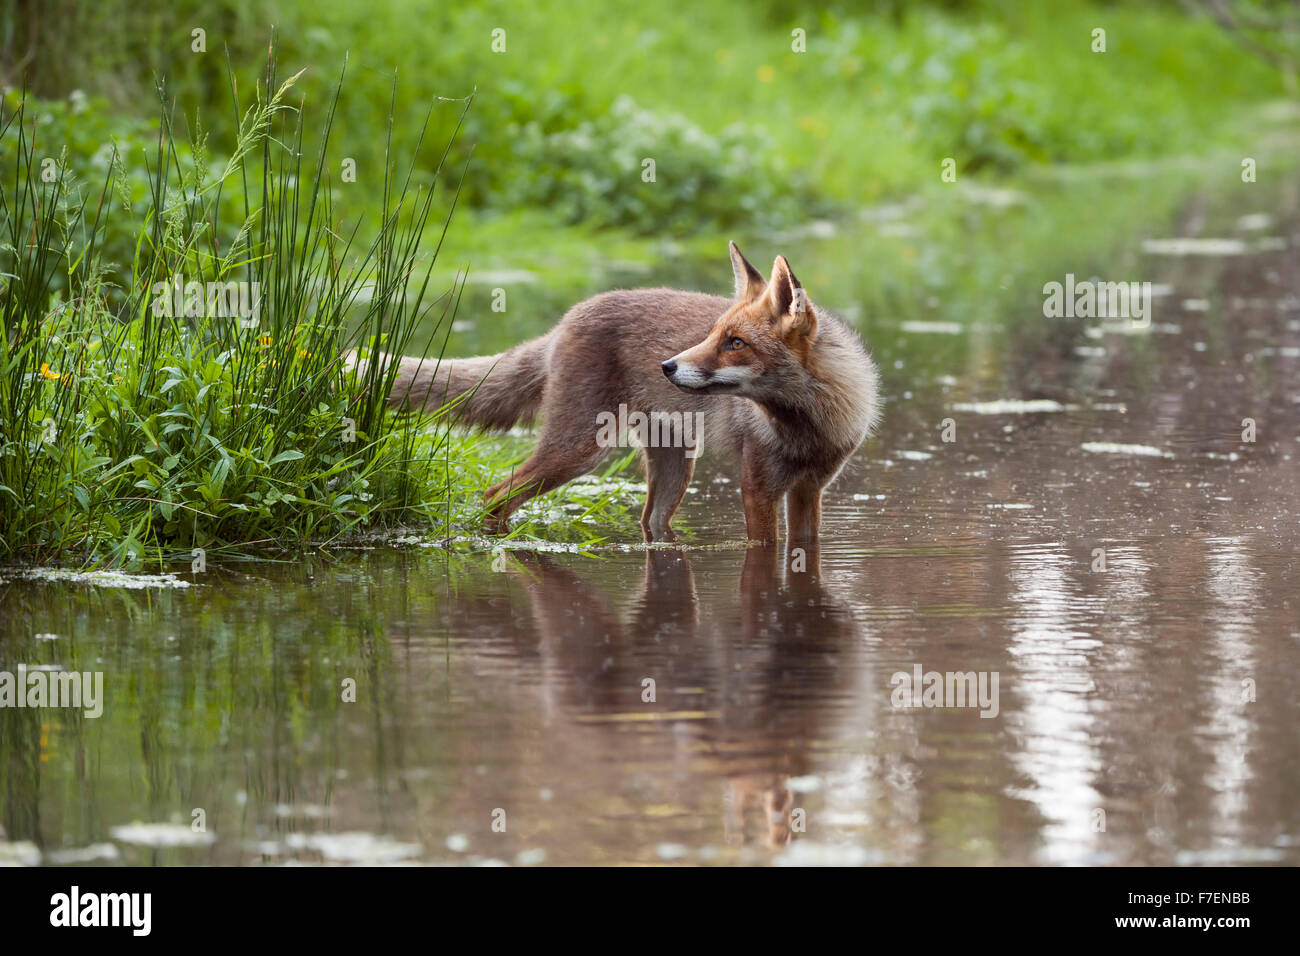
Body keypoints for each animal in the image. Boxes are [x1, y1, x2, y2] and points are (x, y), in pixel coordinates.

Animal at [358, 243, 883, 541]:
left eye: (735, 343)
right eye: (713, 335)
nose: (668, 366)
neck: (806, 424)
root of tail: (564, 320)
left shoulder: (809, 491)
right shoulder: (757, 488)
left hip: (674, 469)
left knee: (650, 524)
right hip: (579, 451)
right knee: (495, 493)